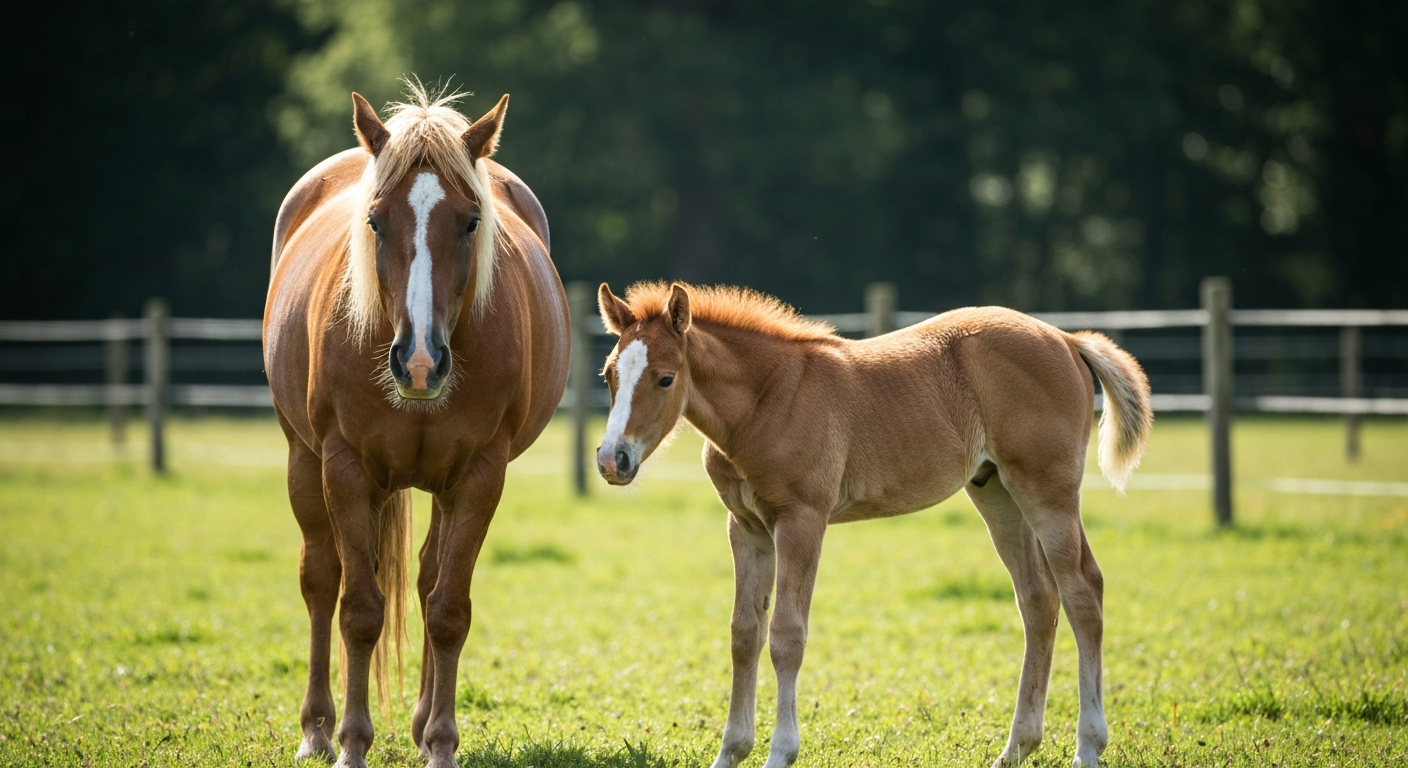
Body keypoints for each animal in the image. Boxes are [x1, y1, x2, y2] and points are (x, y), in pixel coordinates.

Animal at [263, 84, 569, 768]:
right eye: (376, 220)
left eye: (472, 221)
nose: (420, 361)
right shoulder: (345, 467)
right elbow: (358, 610)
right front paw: (351, 743)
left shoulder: (479, 475)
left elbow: (448, 609)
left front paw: (440, 742)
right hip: (303, 458)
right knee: (320, 579)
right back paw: (316, 728)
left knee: (429, 579)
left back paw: (422, 719)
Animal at [593, 282, 1151, 768]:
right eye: (608, 376)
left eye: (666, 378)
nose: (611, 459)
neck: (766, 401)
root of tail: (1067, 340)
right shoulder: (746, 528)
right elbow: (744, 633)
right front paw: (729, 753)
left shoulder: (801, 520)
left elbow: (786, 635)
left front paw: (780, 753)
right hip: (994, 490)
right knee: (1038, 599)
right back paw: (1015, 748)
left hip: (1047, 491)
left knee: (1083, 592)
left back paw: (1087, 748)